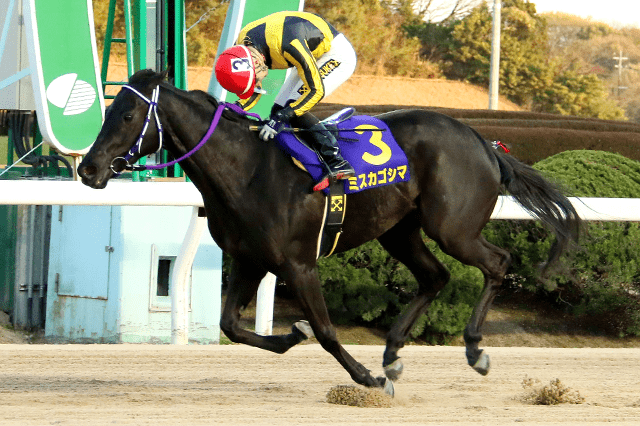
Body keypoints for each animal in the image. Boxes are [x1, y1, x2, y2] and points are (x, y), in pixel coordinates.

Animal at [79, 69, 580, 392]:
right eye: (108, 111)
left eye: (127, 116)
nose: (88, 169)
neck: (246, 169)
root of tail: (483, 140)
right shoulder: (250, 260)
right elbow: (232, 326)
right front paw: (292, 336)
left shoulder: (299, 264)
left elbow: (325, 330)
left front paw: (365, 377)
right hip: (398, 231)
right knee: (434, 276)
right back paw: (393, 354)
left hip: (452, 227)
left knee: (497, 263)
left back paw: (474, 349)